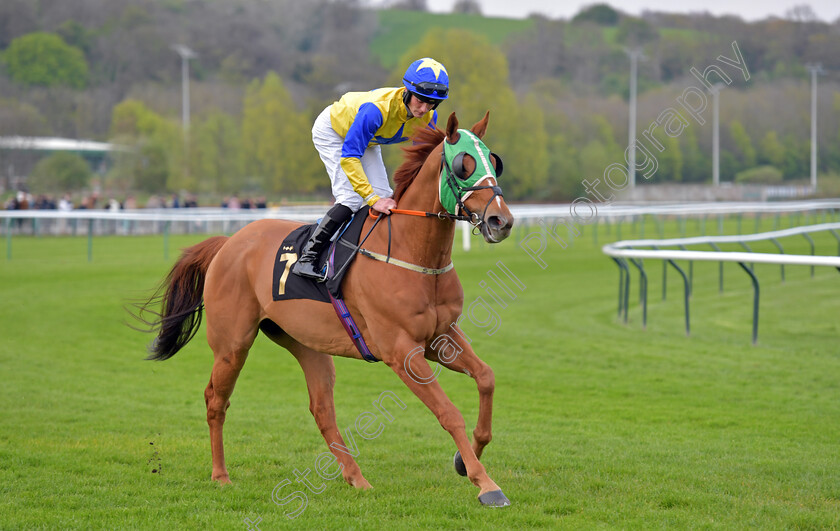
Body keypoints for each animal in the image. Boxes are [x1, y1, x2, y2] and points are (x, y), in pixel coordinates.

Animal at [139, 111, 512, 508]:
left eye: (494, 162)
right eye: (463, 165)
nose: (501, 221)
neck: (411, 253)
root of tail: (228, 243)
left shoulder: (440, 337)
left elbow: (486, 377)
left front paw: (465, 459)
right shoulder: (401, 351)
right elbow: (448, 412)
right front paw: (486, 484)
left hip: (307, 343)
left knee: (321, 409)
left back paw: (356, 478)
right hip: (232, 344)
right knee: (216, 400)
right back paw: (221, 476)